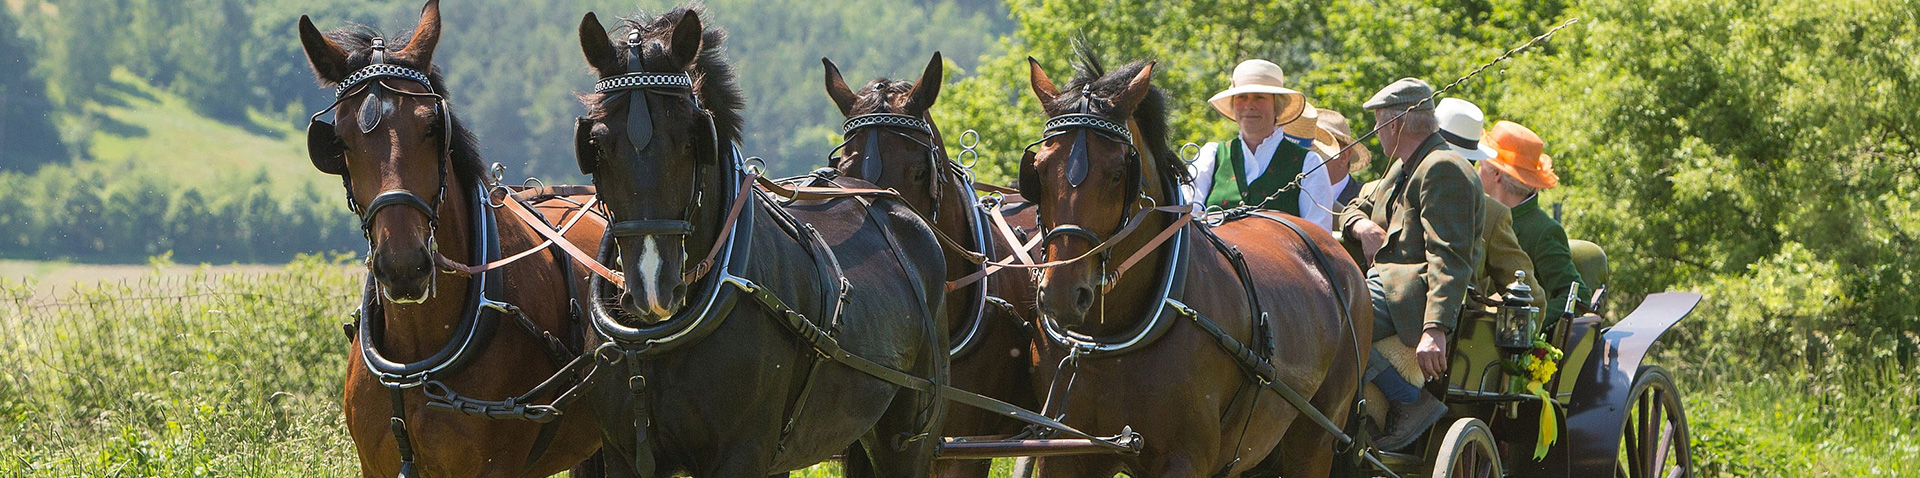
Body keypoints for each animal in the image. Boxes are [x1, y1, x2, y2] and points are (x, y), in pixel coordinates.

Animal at [564, 8, 956, 478]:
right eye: (598, 145)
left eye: (692, 140)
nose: (653, 287)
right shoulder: (622, 454)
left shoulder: (744, 451)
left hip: (908, 435)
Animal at [1021, 49, 1367, 478]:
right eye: (1037, 171)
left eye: (1118, 173)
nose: (1063, 295)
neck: (1109, 338)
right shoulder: (1066, 452)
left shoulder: (1185, 457)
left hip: (1314, 439)